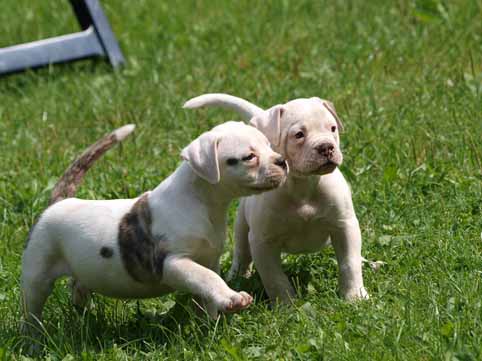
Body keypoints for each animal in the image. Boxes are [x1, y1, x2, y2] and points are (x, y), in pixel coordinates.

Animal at [20, 121, 286, 338]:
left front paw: (211, 323)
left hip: (82, 271)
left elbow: (208, 286)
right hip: (37, 273)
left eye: (269, 146)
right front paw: (232, 298)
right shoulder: (172, 263)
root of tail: (58, 202)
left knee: (78, 290)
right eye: (249, 156)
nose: (282, 161)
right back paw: (33, 341)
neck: (202, 201)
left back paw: (86, 319)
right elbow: (205, 277)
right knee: (32, 310)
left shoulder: (210, 258)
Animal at [185, 93, 370, 304]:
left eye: (332, 128)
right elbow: (275, 278)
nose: (326, 147)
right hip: (241, 227)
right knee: (242, 253)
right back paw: (237, 276)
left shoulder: (344, 226)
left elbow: (349, 263)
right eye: (299, 135)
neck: (302, 185)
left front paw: (355, 296)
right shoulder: (262, 242)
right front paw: (287, 306)